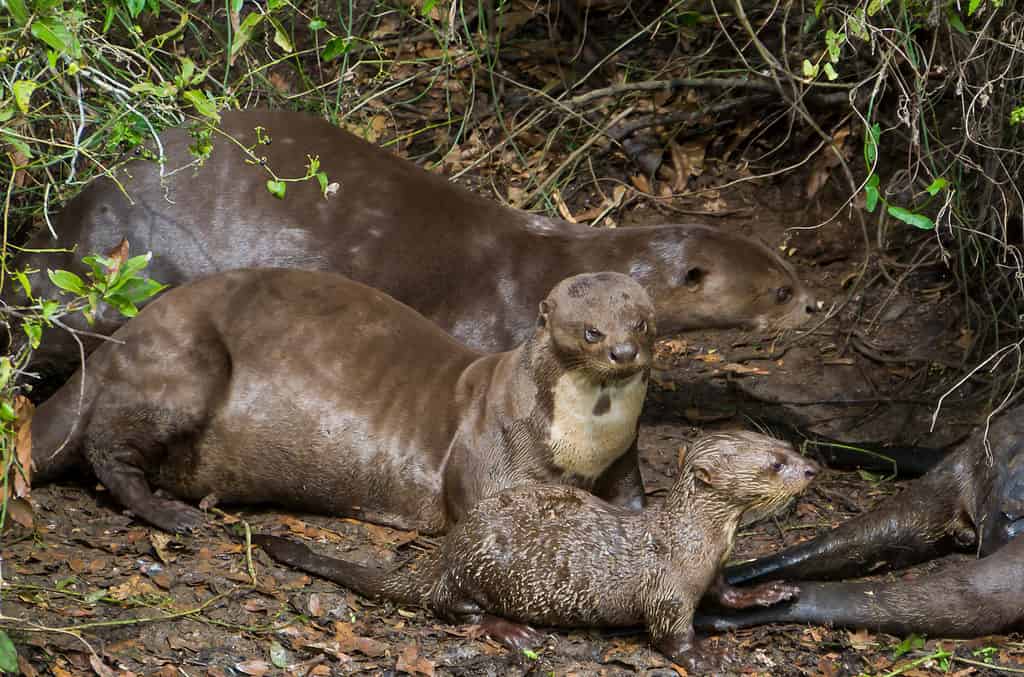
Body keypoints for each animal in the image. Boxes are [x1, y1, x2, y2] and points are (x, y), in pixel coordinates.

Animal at [34, 268, 655, 532]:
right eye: (591, 332)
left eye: (642, 323)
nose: (623, 351)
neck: (582, 444)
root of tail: (119, 340)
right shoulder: (489, 450)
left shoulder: (623, 457)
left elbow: (632, 500)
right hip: (184, 368)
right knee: (106, 449)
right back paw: (171, 514)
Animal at [251, 430, 819, 667]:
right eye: (774, 464)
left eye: (787, 447)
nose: (812, 469)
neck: (693, 540)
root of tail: (444, 554)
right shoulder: (668, 590)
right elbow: (670, 635)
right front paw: (709, 654)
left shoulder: (714, 569)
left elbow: (726, 593)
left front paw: (771, 592)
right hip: (479, 566)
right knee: (451, 607)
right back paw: (509, 629)